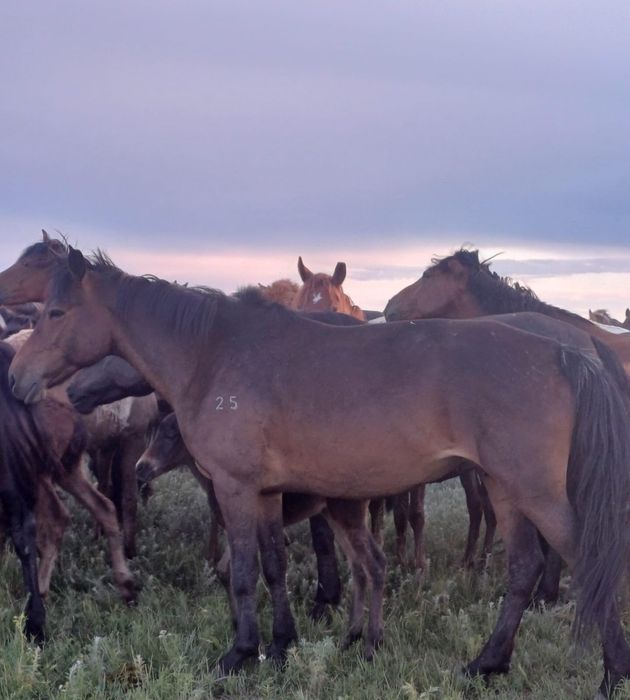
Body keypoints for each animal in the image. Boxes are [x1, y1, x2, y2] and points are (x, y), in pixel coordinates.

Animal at [9, 248, 630, 697]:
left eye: (56, 314)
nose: (17, 378)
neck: (214, 353)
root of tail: (565, 354)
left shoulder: (235, 488)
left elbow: (242, 572)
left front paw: (239, 655)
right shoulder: (266, 492)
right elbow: (275, 567)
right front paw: (281, 645)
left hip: (536, 490)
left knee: (589, 562)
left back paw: (612, 670)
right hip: (505, 488)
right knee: (523, 568)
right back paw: (486, 664)